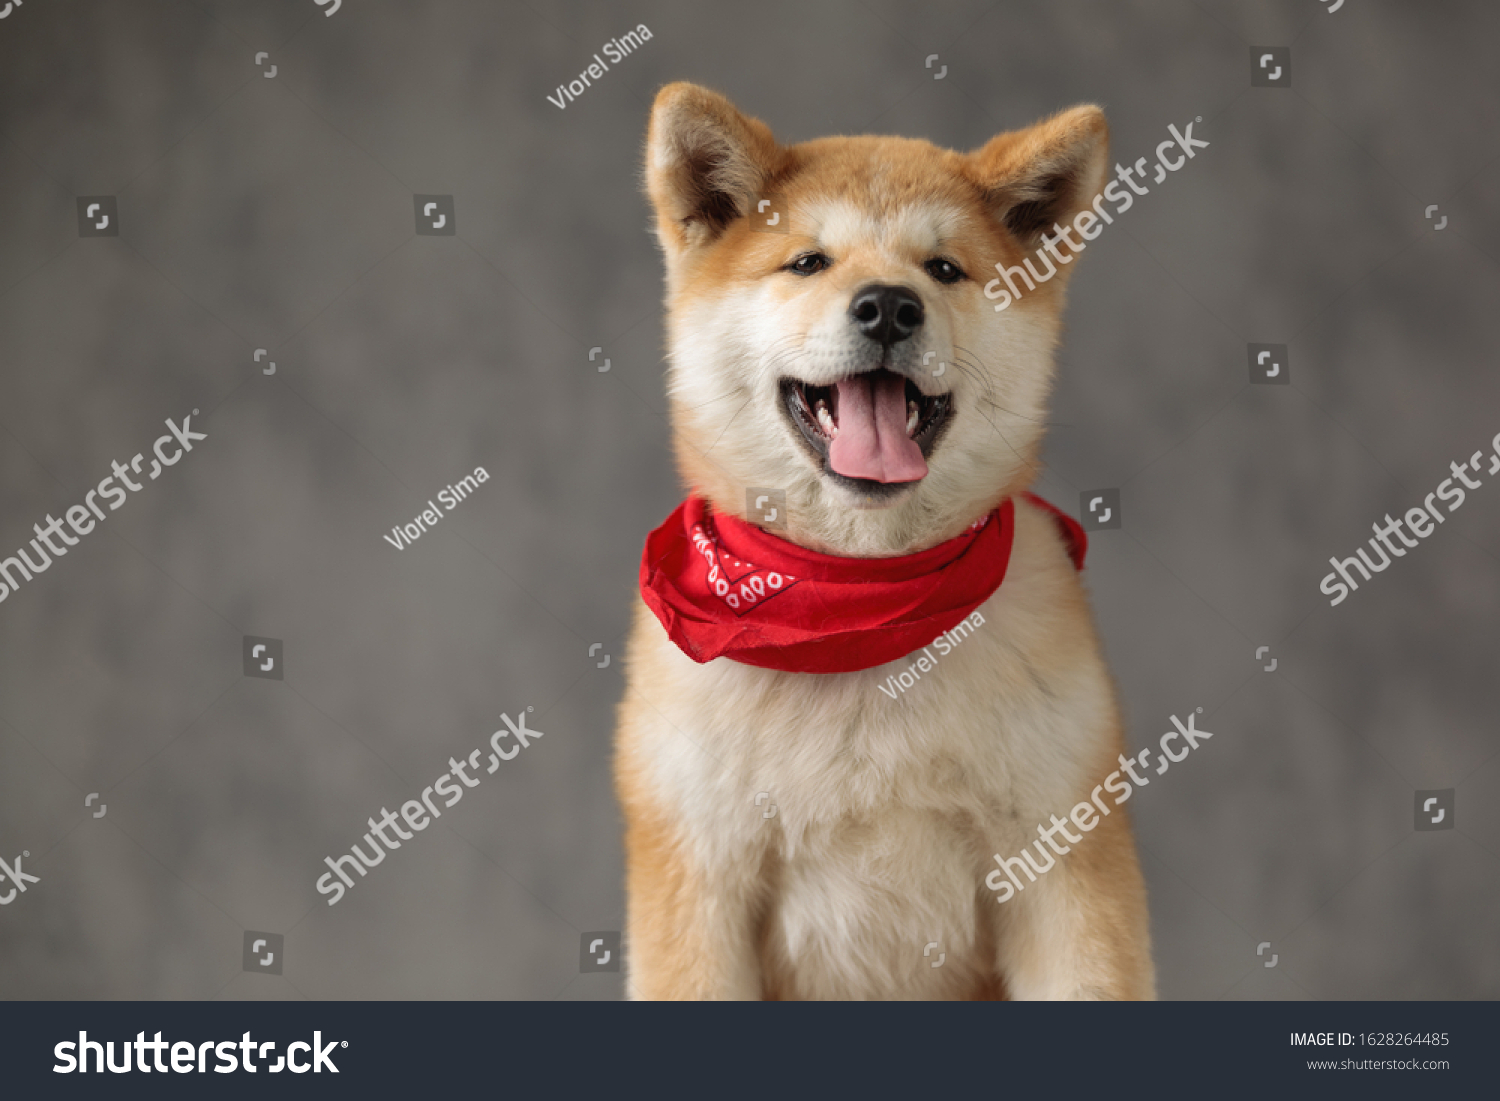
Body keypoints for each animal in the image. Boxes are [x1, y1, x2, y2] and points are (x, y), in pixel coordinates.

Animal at [615, 81, 1152, 1002]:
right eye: (808, 263)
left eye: (943, 269)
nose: (890, 306)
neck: (859, 610)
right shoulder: (698, 879)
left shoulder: (1064, 867)